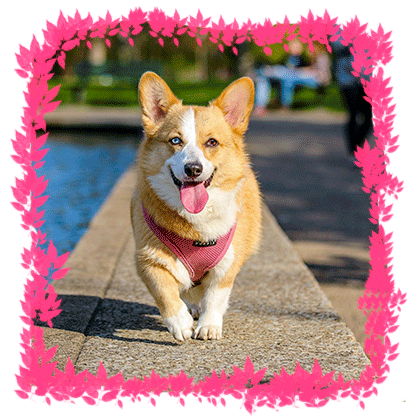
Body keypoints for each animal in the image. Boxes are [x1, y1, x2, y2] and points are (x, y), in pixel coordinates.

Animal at [131, 72, 262, 342]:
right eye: (175, 140)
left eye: (212, 142)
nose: (193, 169)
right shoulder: (148, 260)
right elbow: (165, 292)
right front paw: (179, 323)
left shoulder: (227, 265)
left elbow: (215, 297)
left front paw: (209, 326)